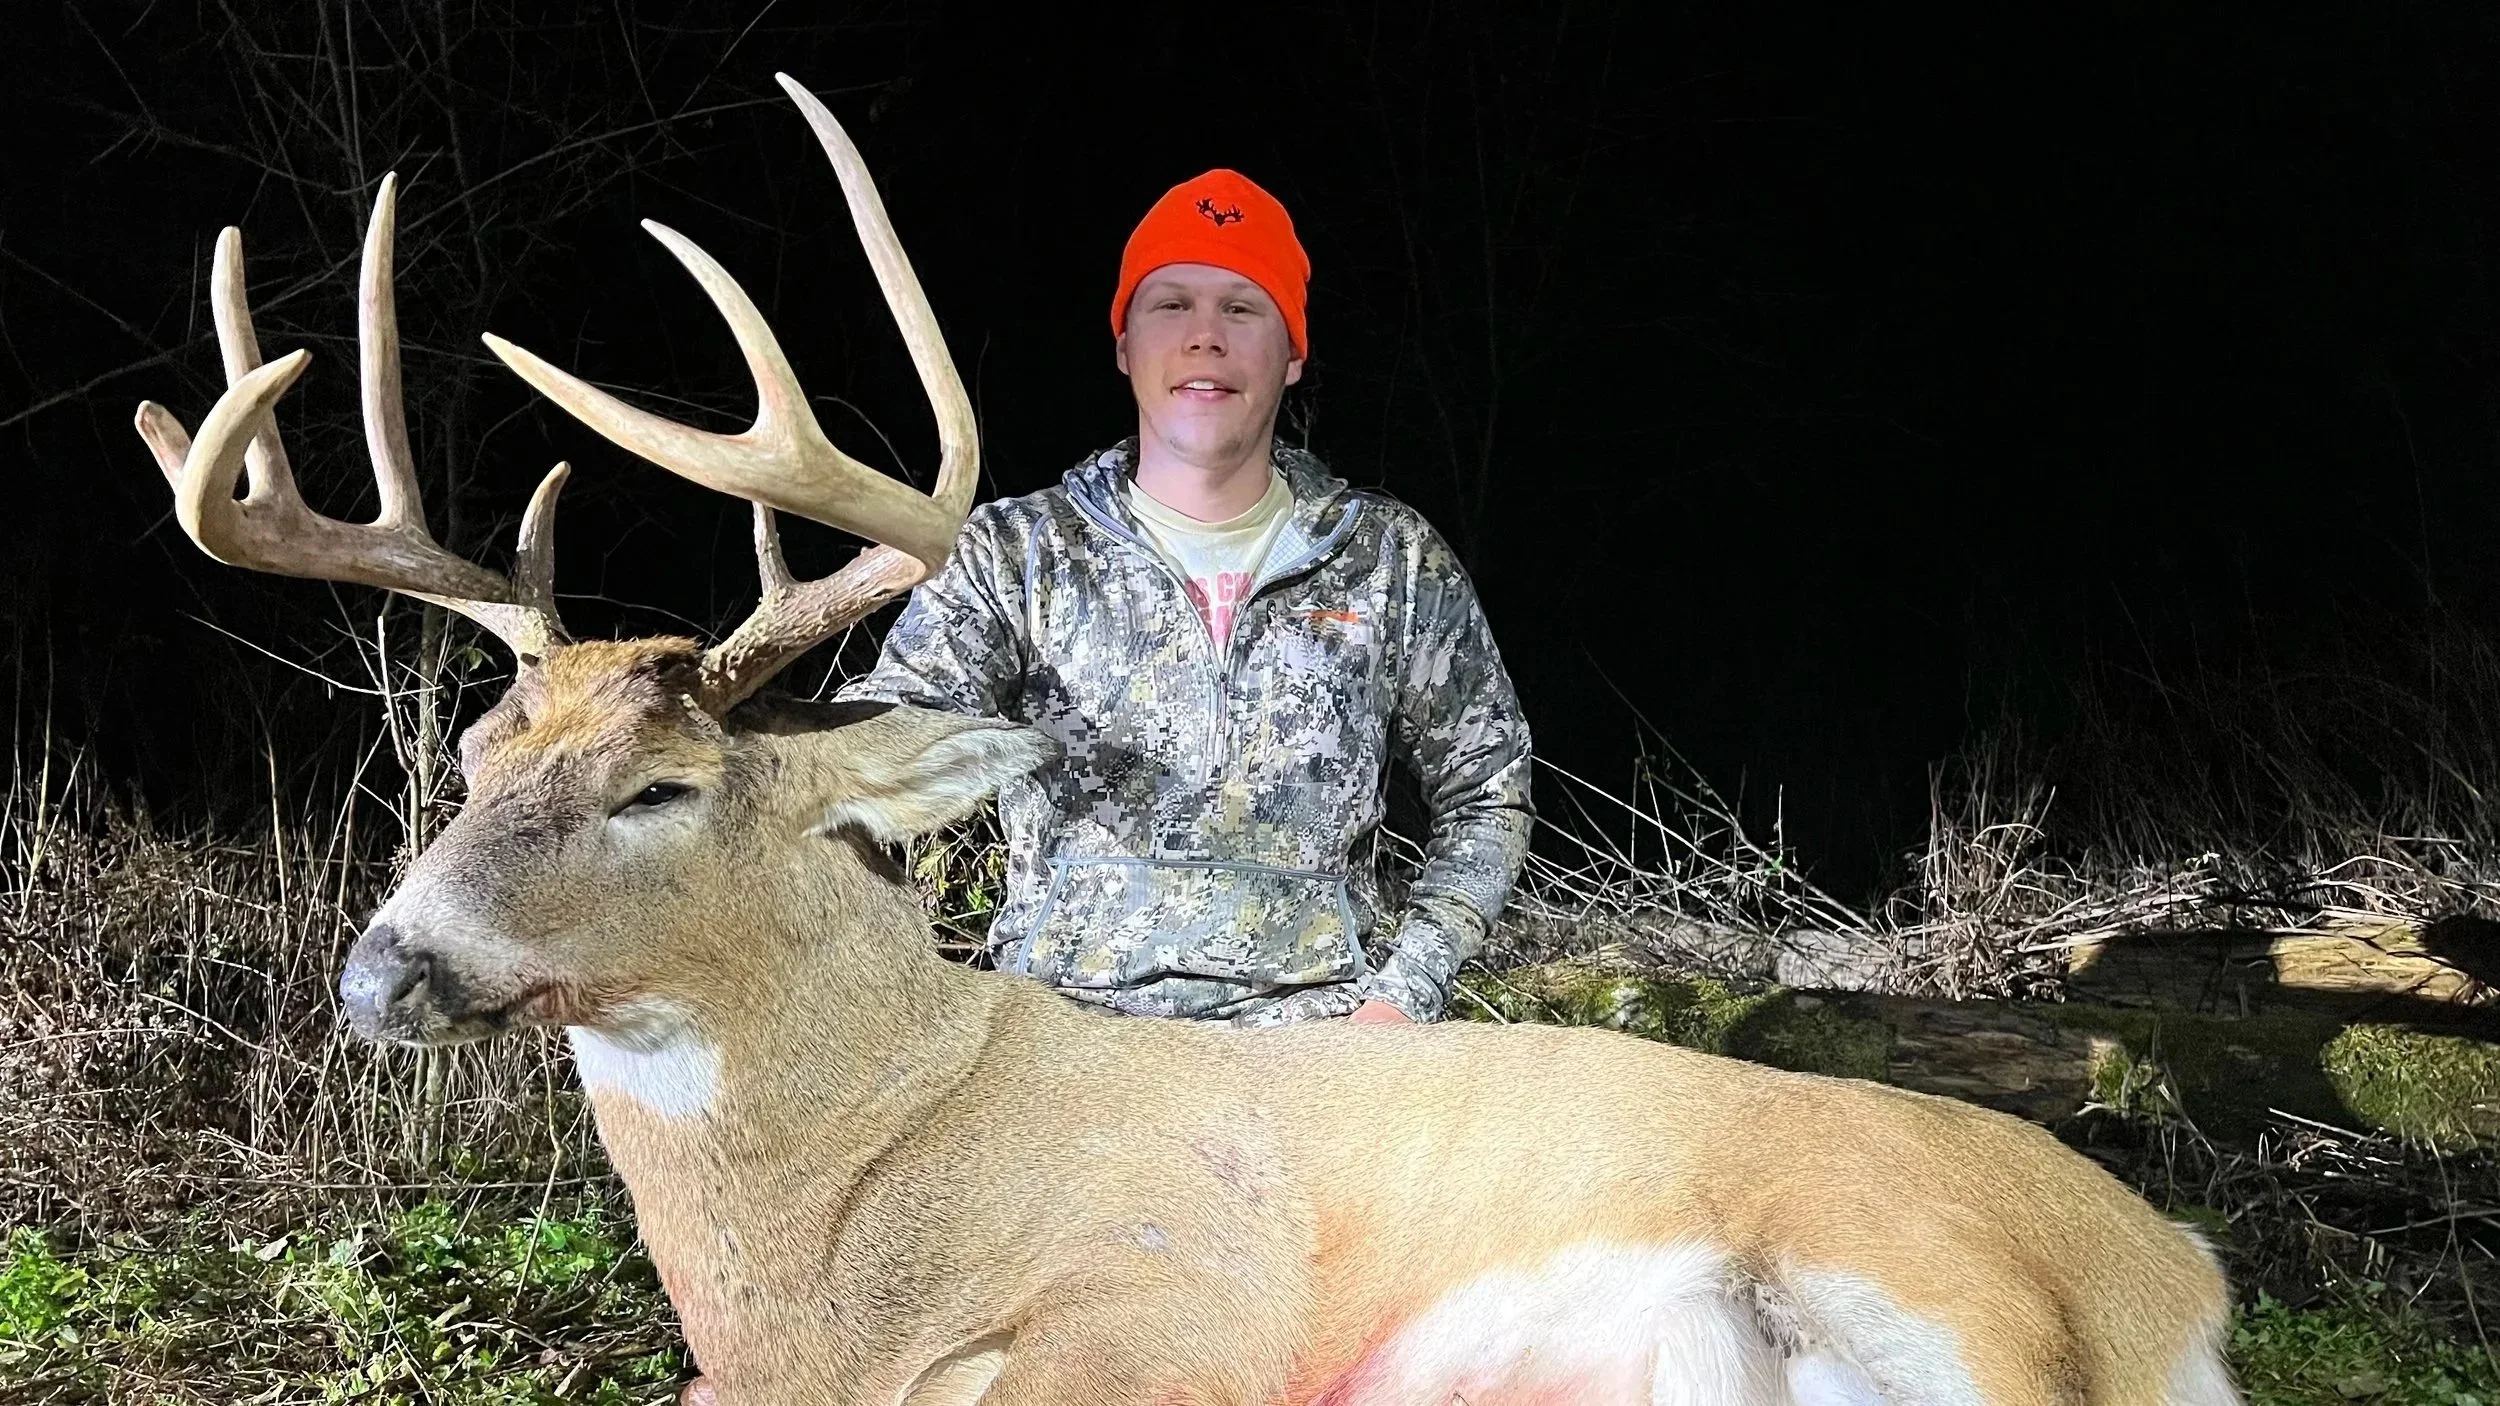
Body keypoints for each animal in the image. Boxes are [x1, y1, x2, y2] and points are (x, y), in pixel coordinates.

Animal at [132, 73, 2240, 1406]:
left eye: (662, 788)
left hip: (1941, 1279)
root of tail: (2184, 1273)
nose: (382, 971)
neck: (844, 1232)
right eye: (476, 760)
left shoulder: (1172, 1311)